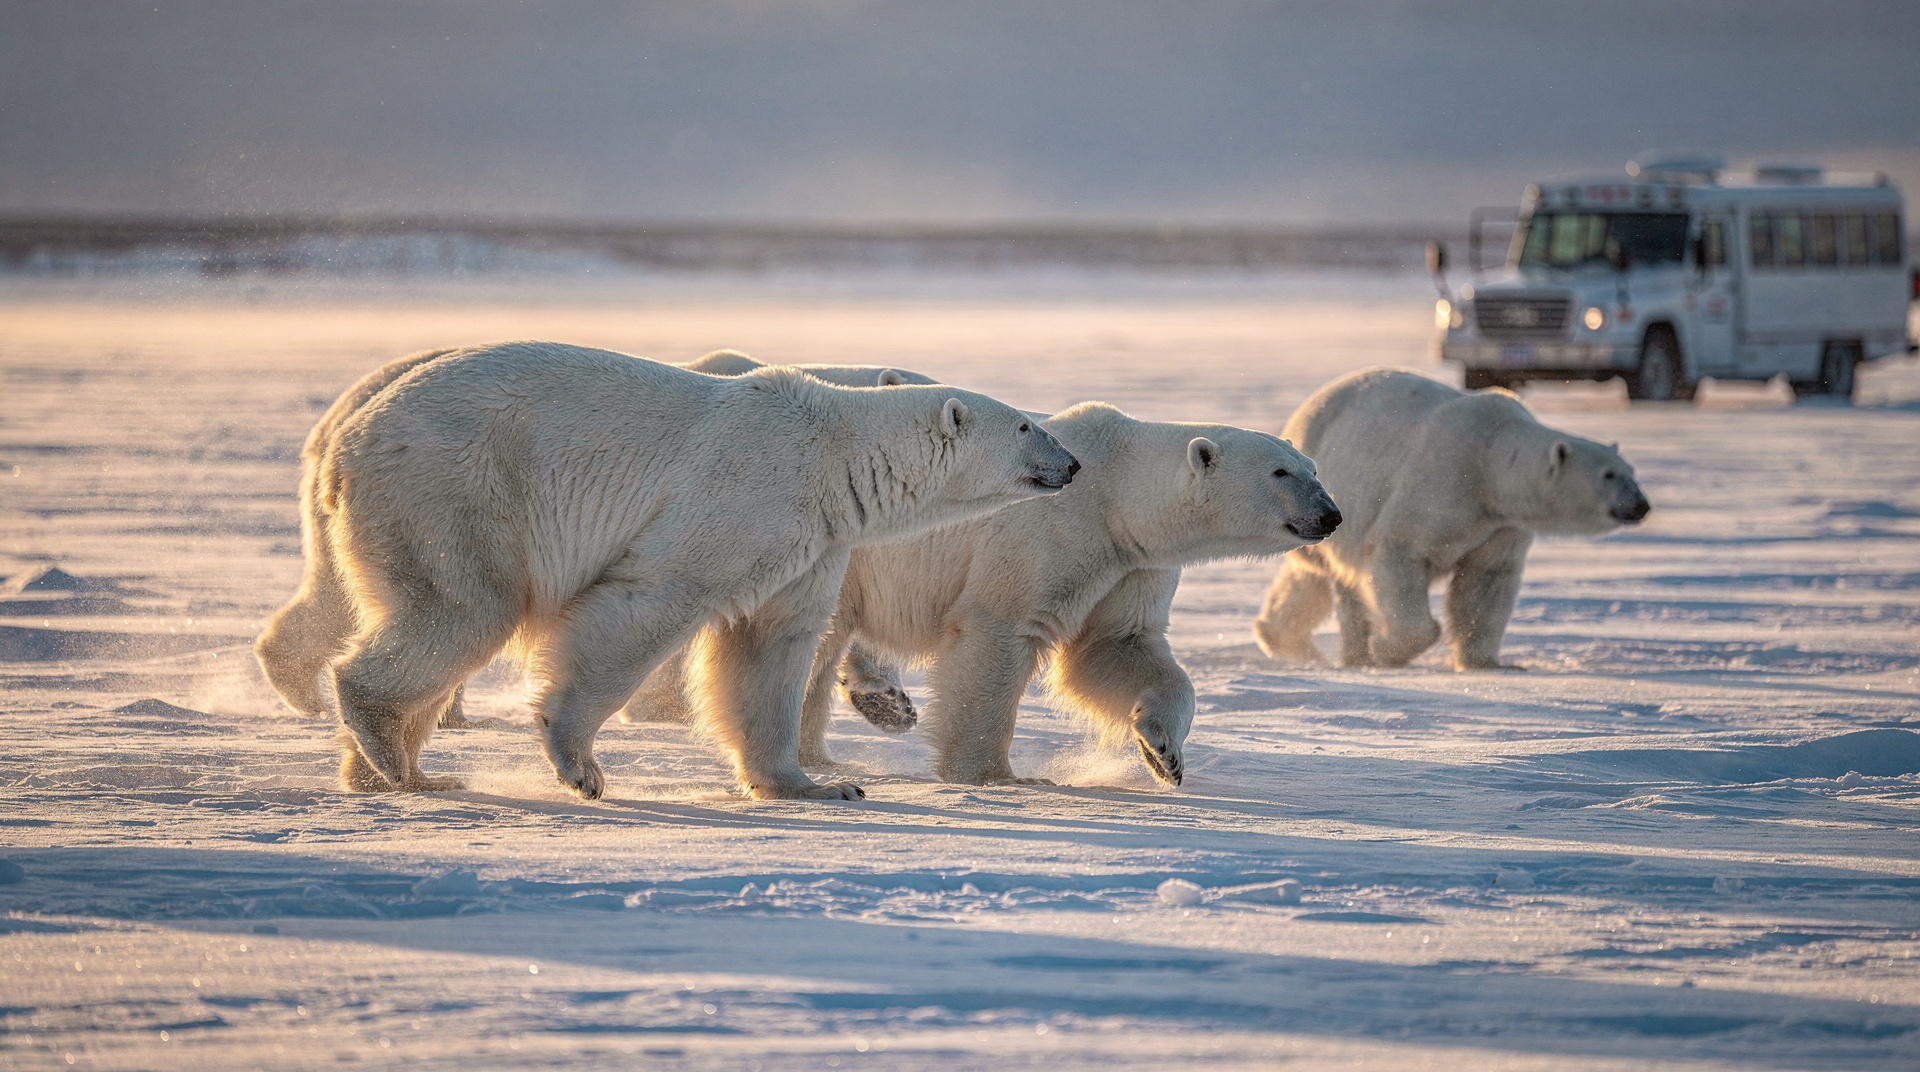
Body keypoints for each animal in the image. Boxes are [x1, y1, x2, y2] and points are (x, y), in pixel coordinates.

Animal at [635, 402, 1340, 786]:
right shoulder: (1050, 533)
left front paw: (1162, 750)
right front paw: (990, 772)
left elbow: (1115, 647)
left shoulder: (1129, 566)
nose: (1331, 515)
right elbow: (998, 636)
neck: (1114, 492)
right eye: (1282, 472)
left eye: (1313, 467)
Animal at [1250, 367, 1650, 671]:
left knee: (1310, 581)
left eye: (1631, 470)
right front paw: (1387, 649)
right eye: (1609, 475)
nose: (1641, 505)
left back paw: (1289, 641)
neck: (1490, 460)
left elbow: (1484, 583)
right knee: (1338, 580)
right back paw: (1357, 655)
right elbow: (1400, 556)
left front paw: (1489, 663)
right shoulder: (1440, 484)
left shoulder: (1501, 526)